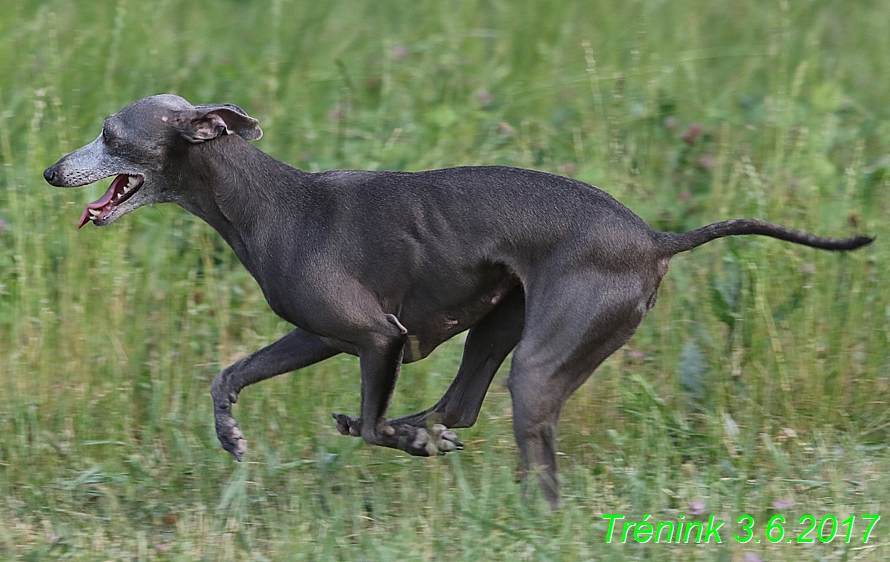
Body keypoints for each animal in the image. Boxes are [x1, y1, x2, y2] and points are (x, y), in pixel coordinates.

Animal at [45, 94, 872, 506]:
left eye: (111, 134)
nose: (52, 171)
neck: (269, 200)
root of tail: (653, 238)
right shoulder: (323, 335)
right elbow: (230, 375)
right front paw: (229, 436)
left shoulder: (375, 337)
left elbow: (371, 427)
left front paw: (398, 439)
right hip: (502, 322)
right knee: (460, 405)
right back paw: (432, 433)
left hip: (540, 362)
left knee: (523, 459)